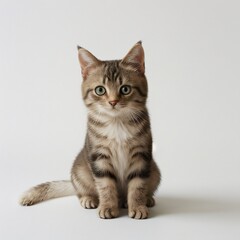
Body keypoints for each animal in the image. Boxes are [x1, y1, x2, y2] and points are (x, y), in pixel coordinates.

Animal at [19, 41, 161, 219]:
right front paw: (107, 207)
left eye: (125, 89)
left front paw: (138, 206)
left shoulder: (141, 155)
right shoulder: (99, 156)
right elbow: (105, 185)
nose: (113, 102)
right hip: (79, 172)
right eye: (100, 90)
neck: (117, 124)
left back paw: (145, 200)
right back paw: (89, 199)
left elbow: (137, 186)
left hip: (155, 171)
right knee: (81, 190)